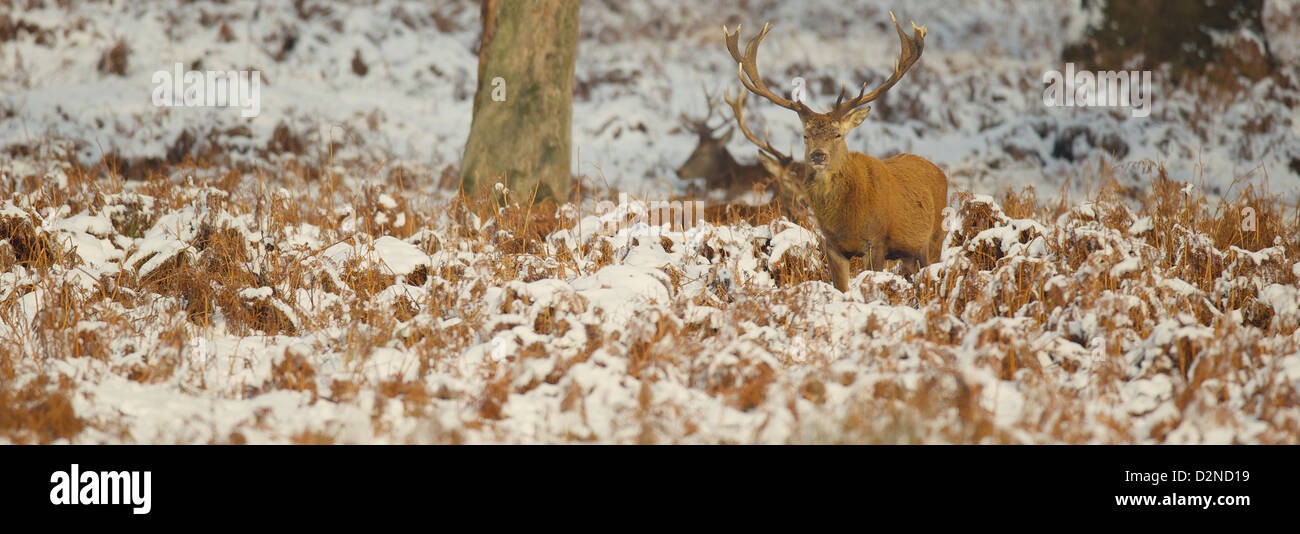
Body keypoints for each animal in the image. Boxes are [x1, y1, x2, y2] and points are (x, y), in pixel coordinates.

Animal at [722, 11, 946, 292]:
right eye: (805, 135)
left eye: (838, 134)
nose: (818, 155)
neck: (844, 220)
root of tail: (940, 171)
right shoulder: (833, 245)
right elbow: (840, 287)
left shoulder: (876, 241)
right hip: (909, 253)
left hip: (935, 236)